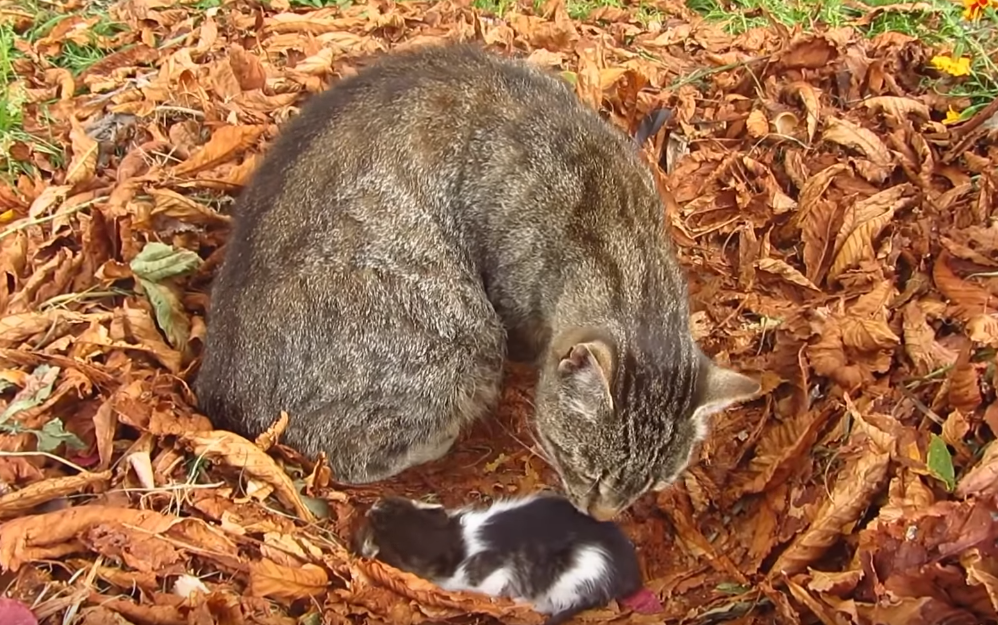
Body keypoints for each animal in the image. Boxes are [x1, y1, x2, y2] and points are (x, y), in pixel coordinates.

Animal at [356, 492, 644, 624]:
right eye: (397, 505)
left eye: (379, 527)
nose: (375, 505)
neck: (453, 540)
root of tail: (630, 573)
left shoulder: (492, 577)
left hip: (575, 578)